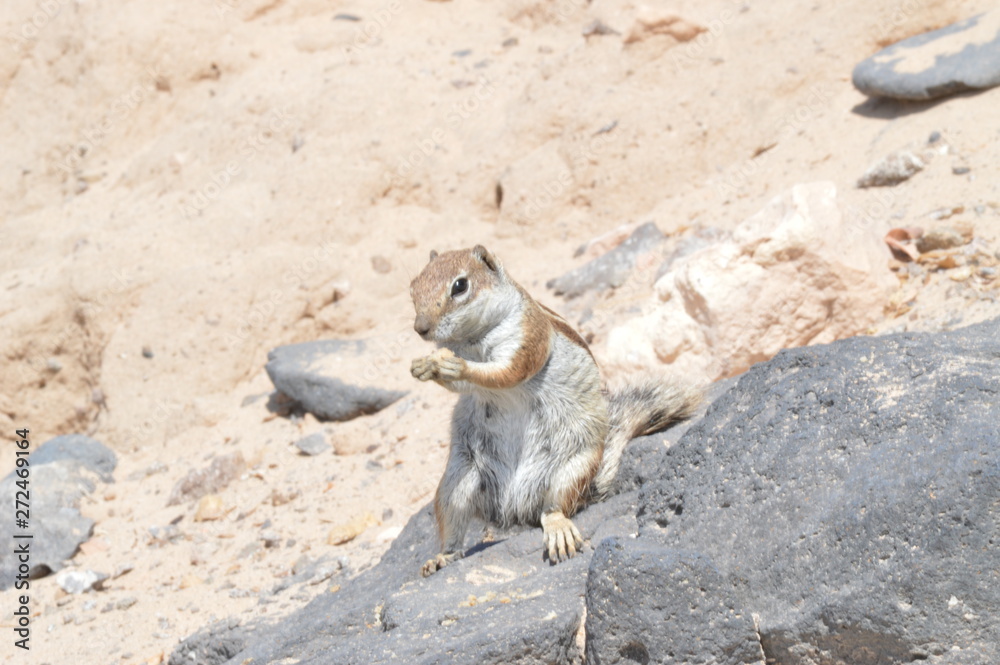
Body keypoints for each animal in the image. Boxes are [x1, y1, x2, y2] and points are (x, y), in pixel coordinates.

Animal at [409, 245, 700, 577]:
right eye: (413, 287)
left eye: (460, 286)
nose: (421, 329)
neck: (471, 340)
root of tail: (516, 510)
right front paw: (425, 366)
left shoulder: (528, 334)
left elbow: (506, 372)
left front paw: (456, 366)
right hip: (457, 479)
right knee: (454, 522)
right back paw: (442, 557)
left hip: (575, 466)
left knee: (554, 508)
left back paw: (558, 527)